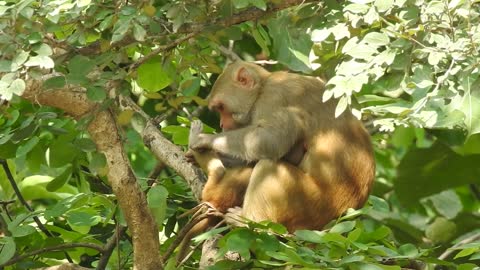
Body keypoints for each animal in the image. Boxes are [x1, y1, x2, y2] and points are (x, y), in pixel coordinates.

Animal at [188, 60, 376, 231]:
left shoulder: (273, 99)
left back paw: (251, 221)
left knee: (269, 165)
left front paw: (203, 140)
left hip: (311, 202)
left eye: (221, 108)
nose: (222, 124)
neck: (263, 86)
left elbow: (270, 140)